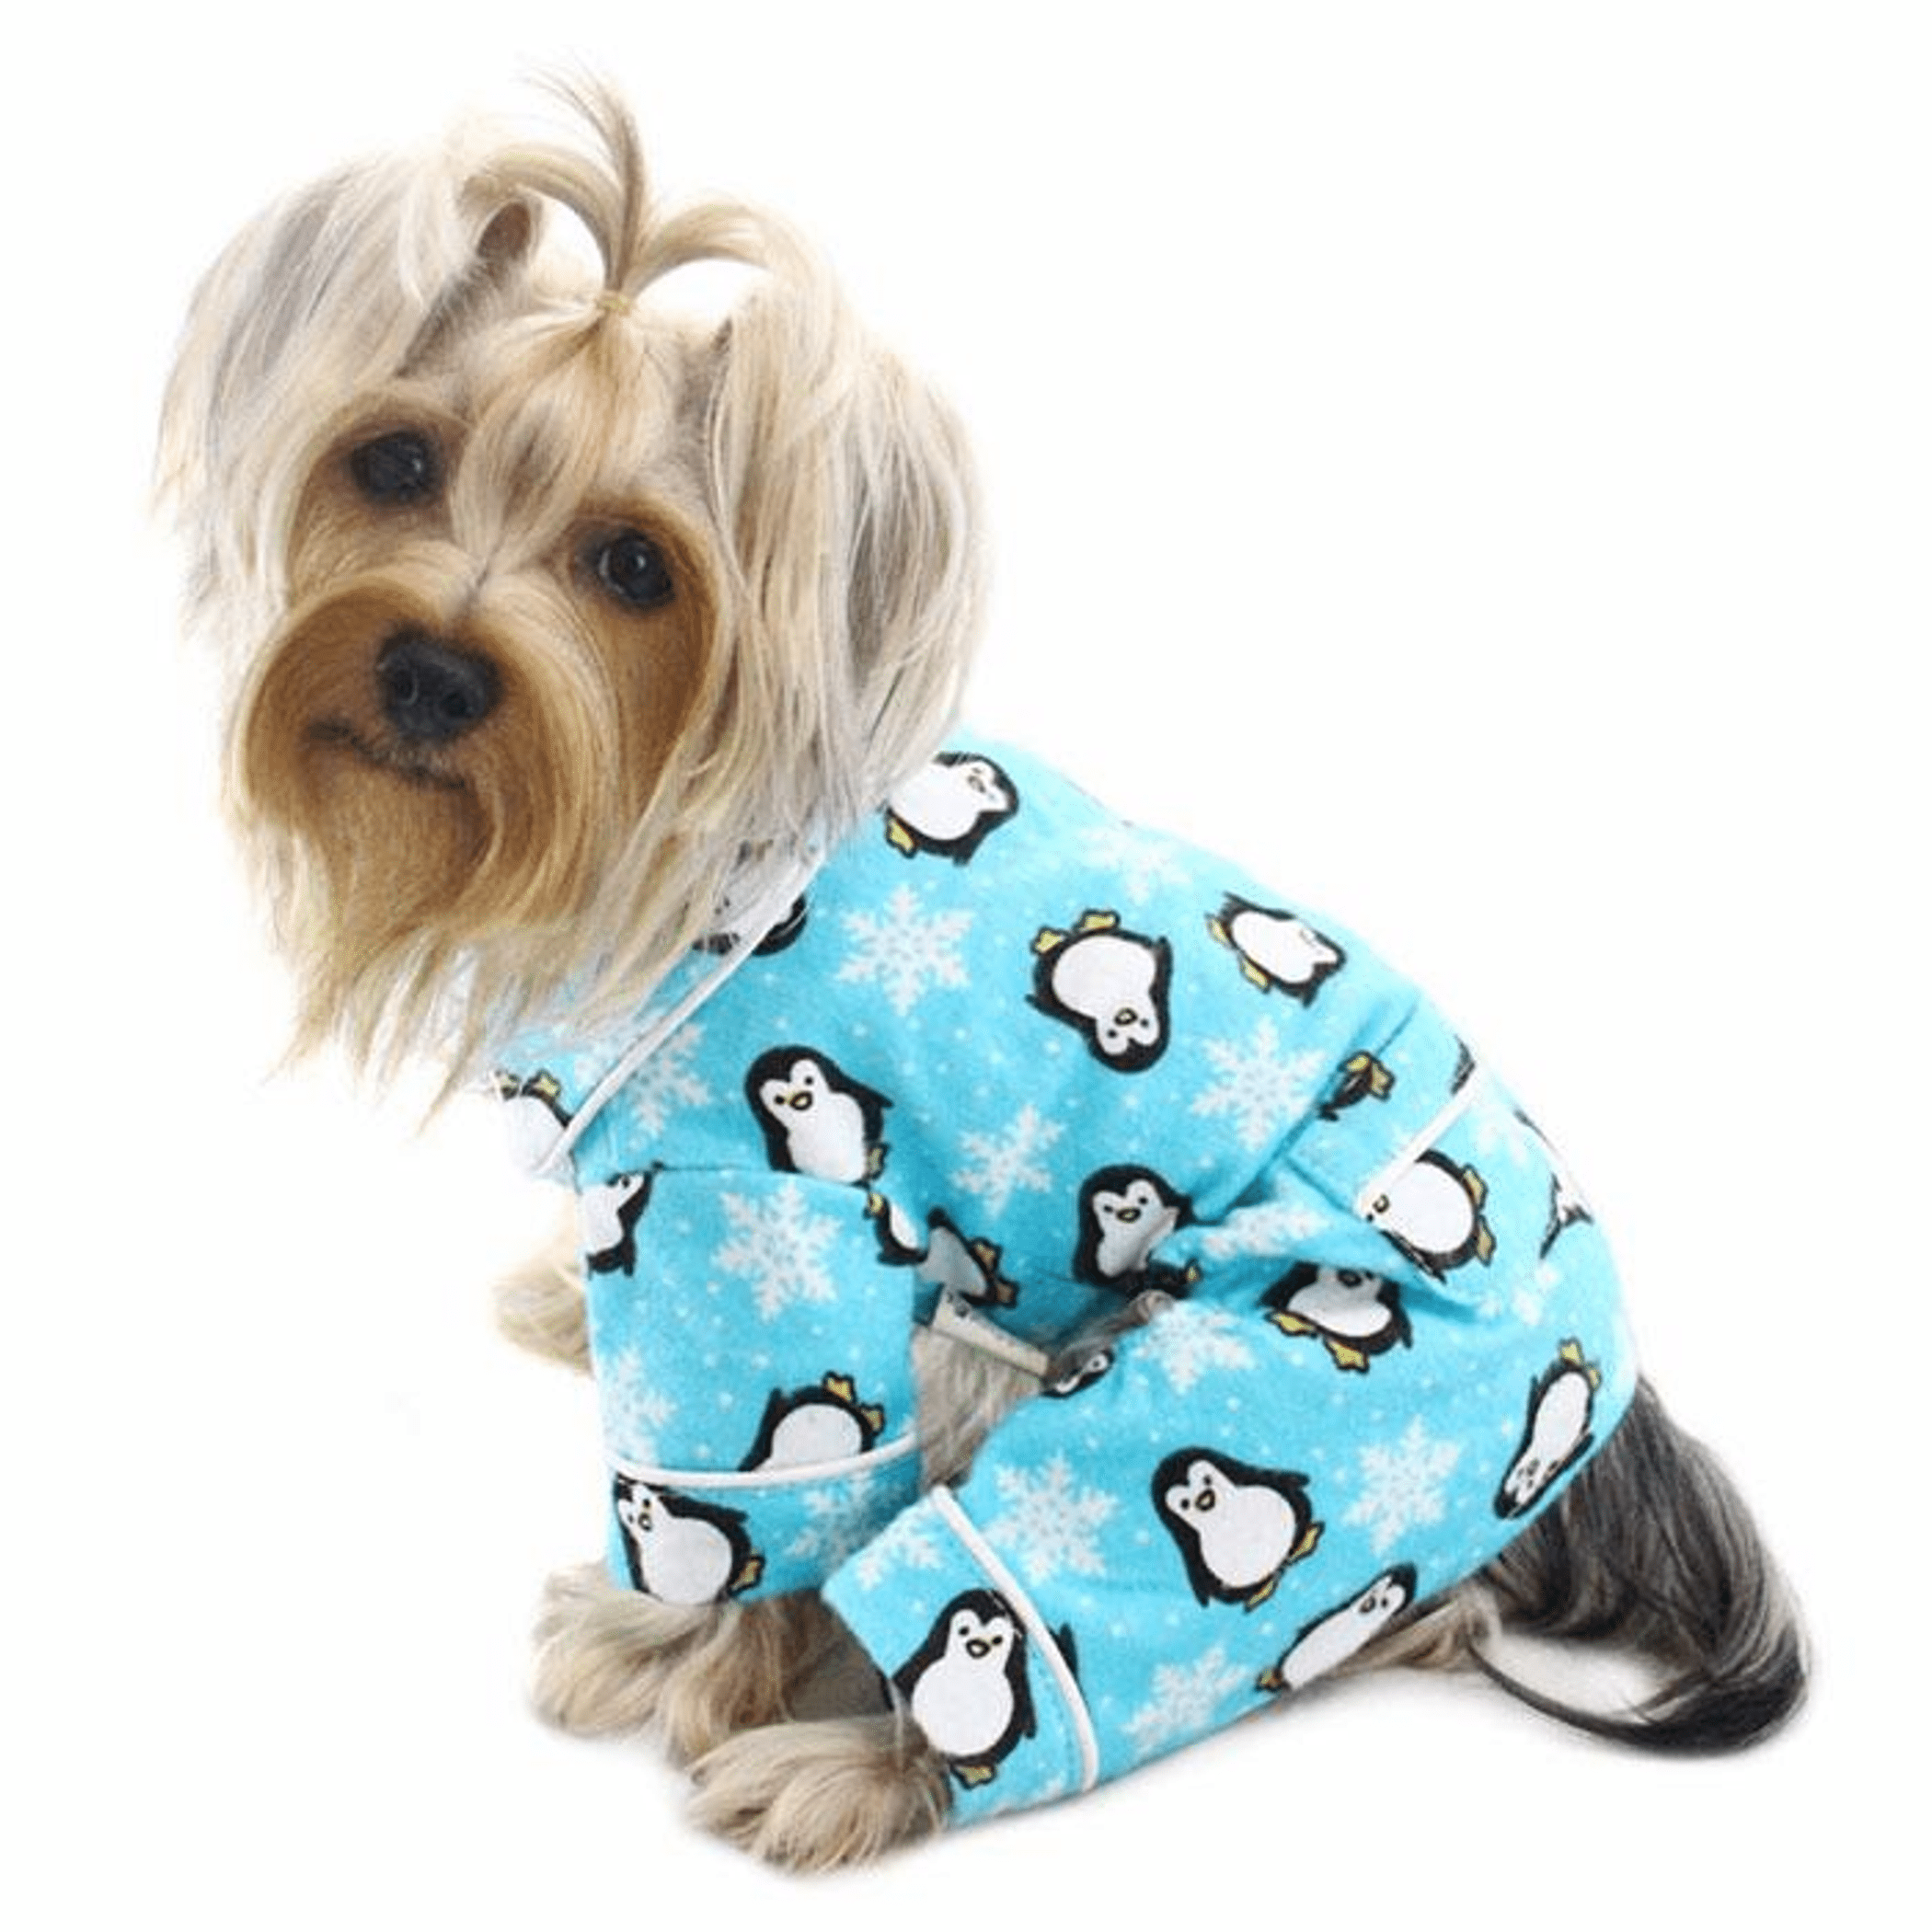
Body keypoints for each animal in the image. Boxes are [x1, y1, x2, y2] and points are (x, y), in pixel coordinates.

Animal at [159, 80, 1805, 1868]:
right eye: (393, 460)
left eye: (634, 569)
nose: (433, 673)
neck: (660, 832)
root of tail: (1615, 1417)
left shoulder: (755, 1210)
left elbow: (753, 1497)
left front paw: (676, 1648)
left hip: (1323, 1391)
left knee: (1085, 1581)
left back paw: (853, 1763)